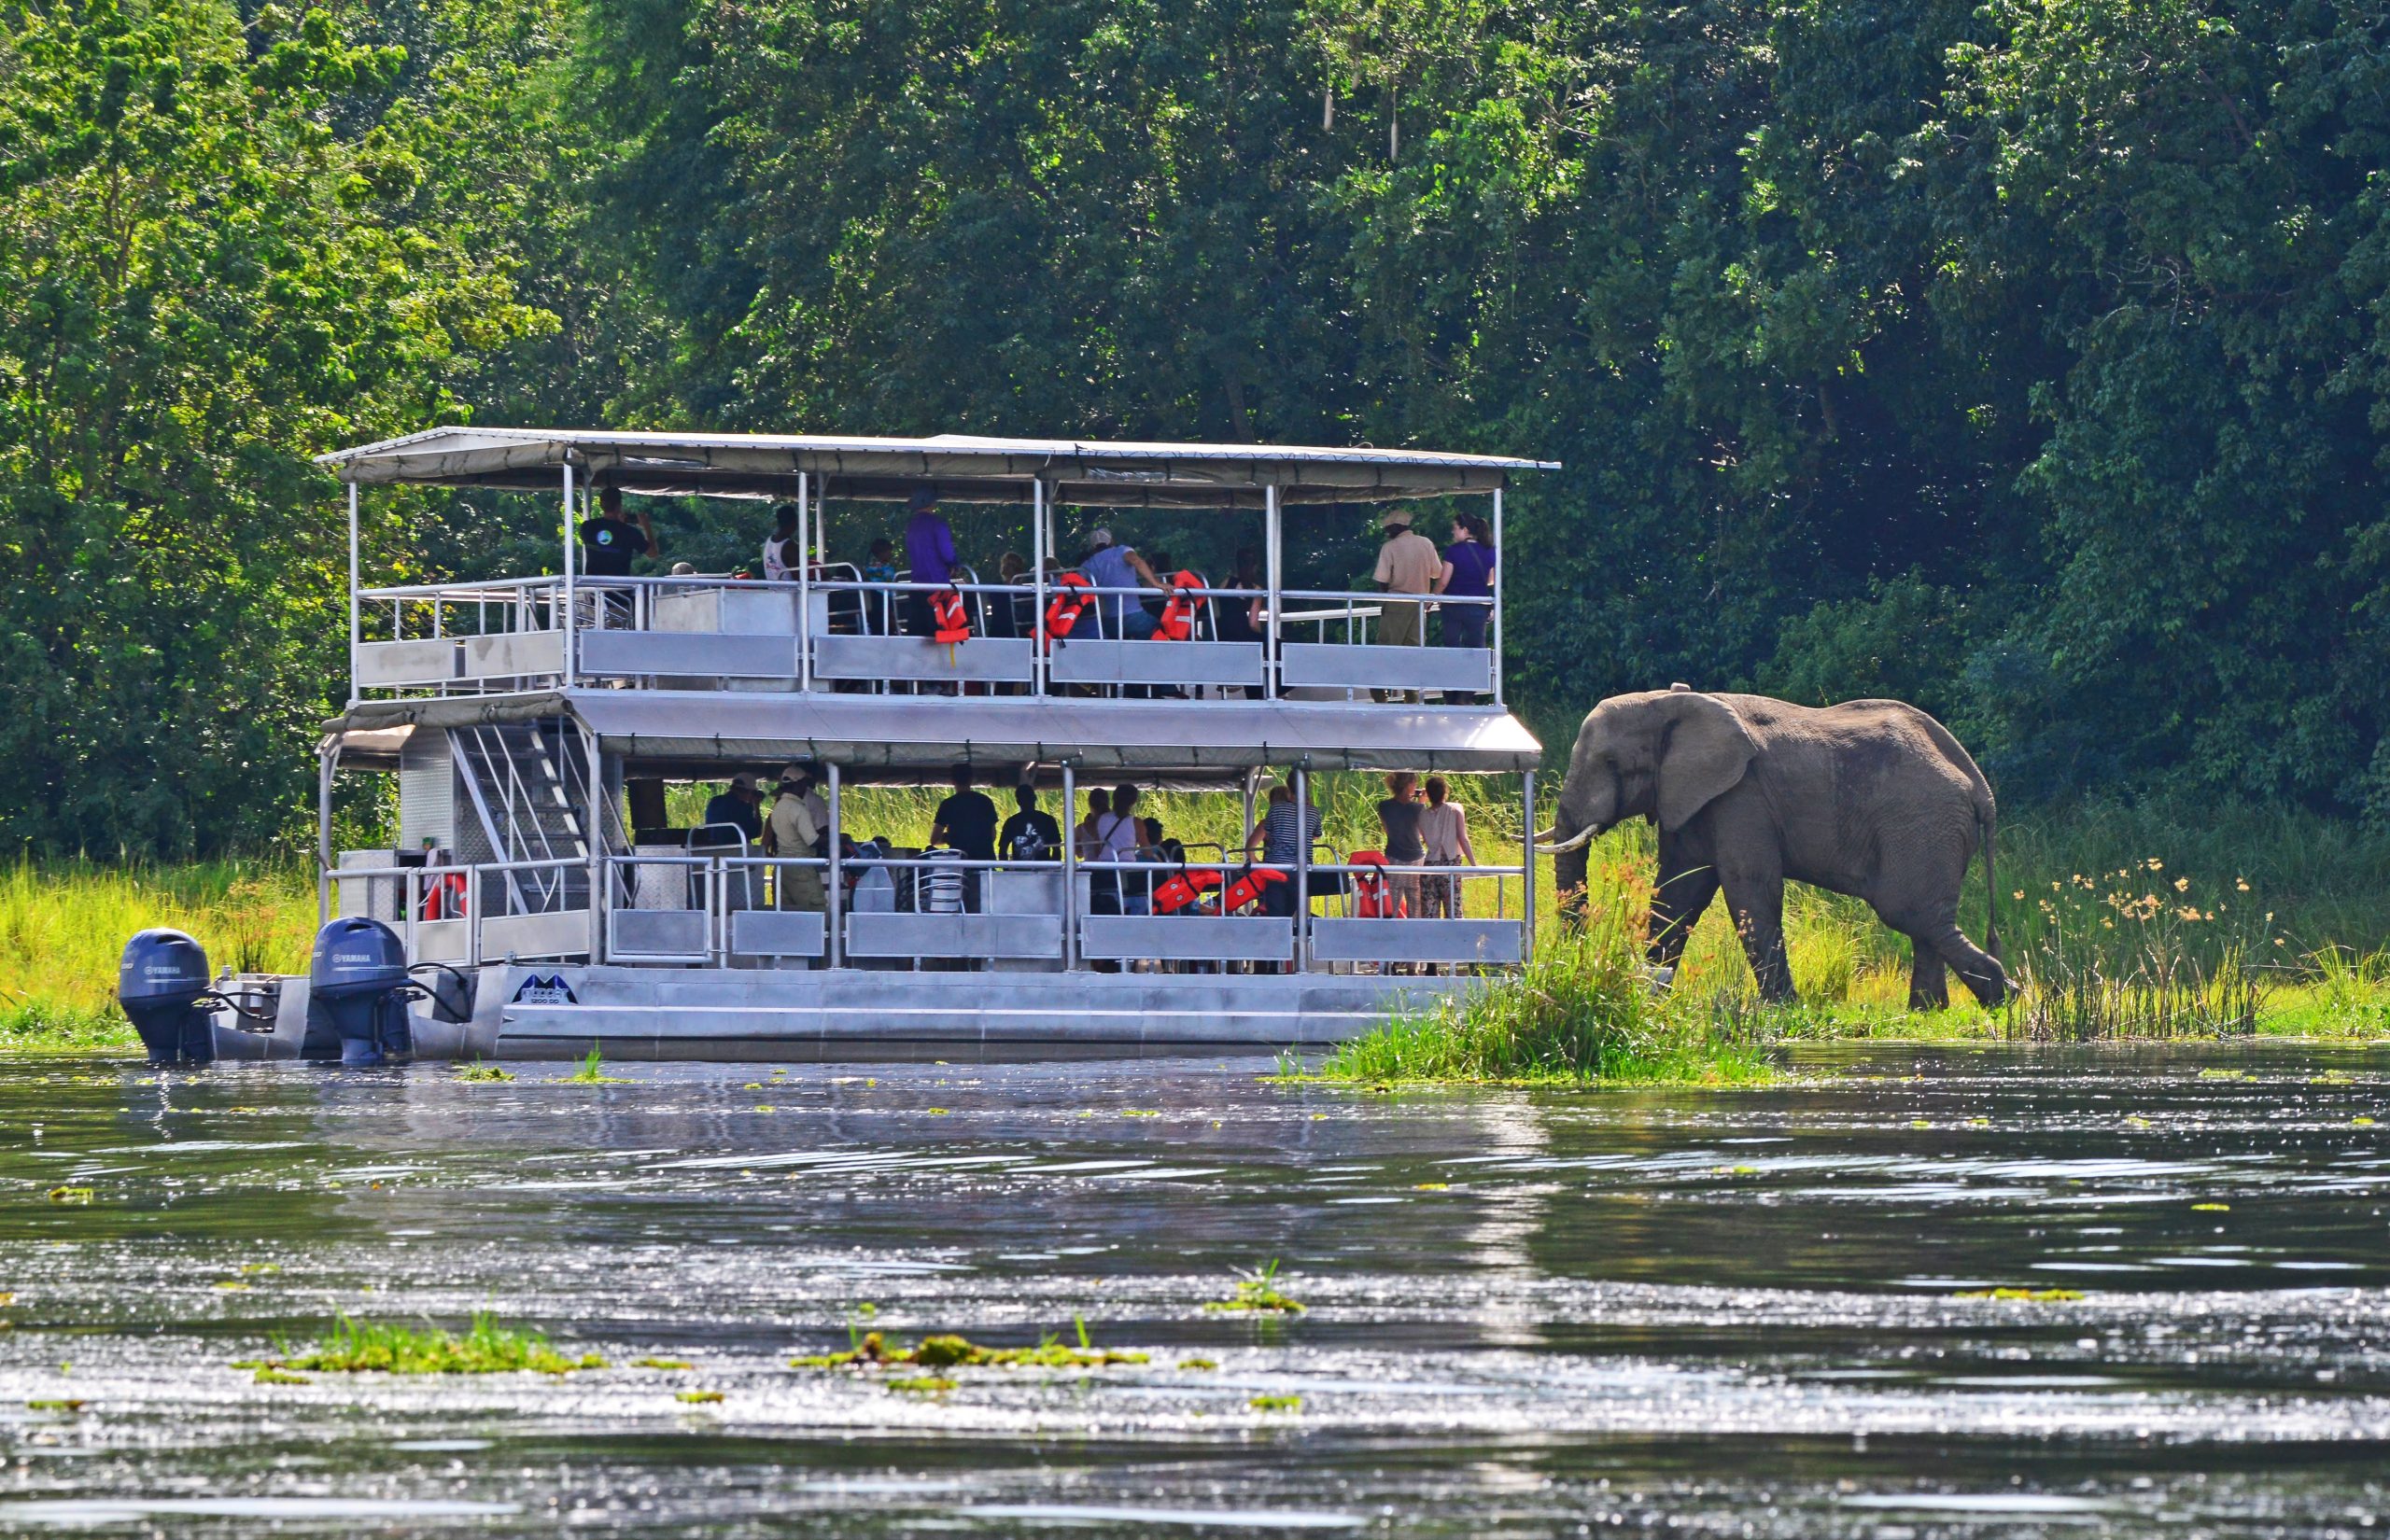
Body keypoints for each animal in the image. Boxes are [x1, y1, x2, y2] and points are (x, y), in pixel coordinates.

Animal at [1539, 687, 2007, 1007]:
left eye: (1612, 764)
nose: (1578, 959)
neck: (1672, 703)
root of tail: (1980, 785)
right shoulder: (1689, 796)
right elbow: (1678, 890)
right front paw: (1648, 992)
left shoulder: (1742, 795)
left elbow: (1749, 887)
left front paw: (1780, 1007)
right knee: (1924, 920)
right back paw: (1929, 1011)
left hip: (1922, 824)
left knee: (1908, 911)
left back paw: (2001, 996)